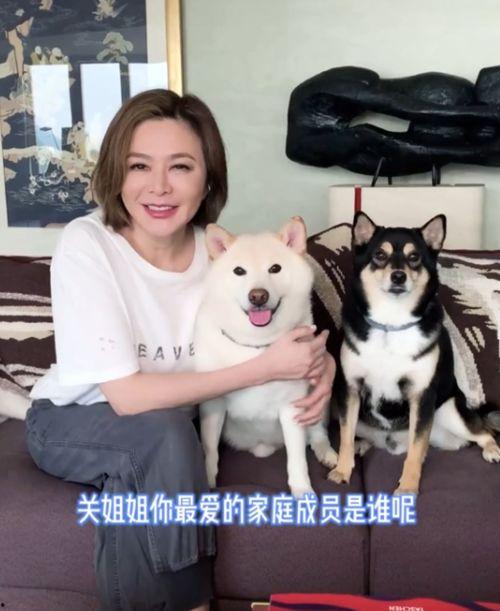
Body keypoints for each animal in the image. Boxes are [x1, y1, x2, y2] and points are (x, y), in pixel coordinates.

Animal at [194, 217, 338, 498]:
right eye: (239, 271)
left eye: (275, 268)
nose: (258, 295)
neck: (257, 349)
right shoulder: (212, 407)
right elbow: (209, 450)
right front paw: (207, 480)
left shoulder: (293, 408)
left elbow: (297, 459)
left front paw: (302, 490)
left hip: (317, 399)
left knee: (317, 433)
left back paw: (327, 453)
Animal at [328, 211, 500, 495]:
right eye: (380, 255)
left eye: (414, 257)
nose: (398, 276)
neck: (391, 323)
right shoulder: (350, 389)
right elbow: (345, 438)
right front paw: (342, 470)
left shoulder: (421, 396)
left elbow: (416, 449)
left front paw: (408, 487)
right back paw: (363, 446)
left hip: (449, 413)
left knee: (482, 432)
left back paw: (492, 449)